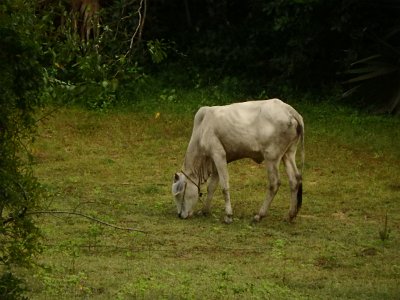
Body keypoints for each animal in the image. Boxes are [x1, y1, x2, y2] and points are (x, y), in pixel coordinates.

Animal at [170, 99, 304, 224]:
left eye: (180, 195)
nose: (180, 215)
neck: (202, 128)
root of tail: (289, 110)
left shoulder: (218, 154)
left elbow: (224, 186)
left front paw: (228, 216)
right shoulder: (215, 163)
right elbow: (211, 187)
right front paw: (205, 211)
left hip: (271, 156)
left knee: (274, 183)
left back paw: (259, 215)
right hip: (288, 153)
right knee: (295, 180)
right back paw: (290, 215)